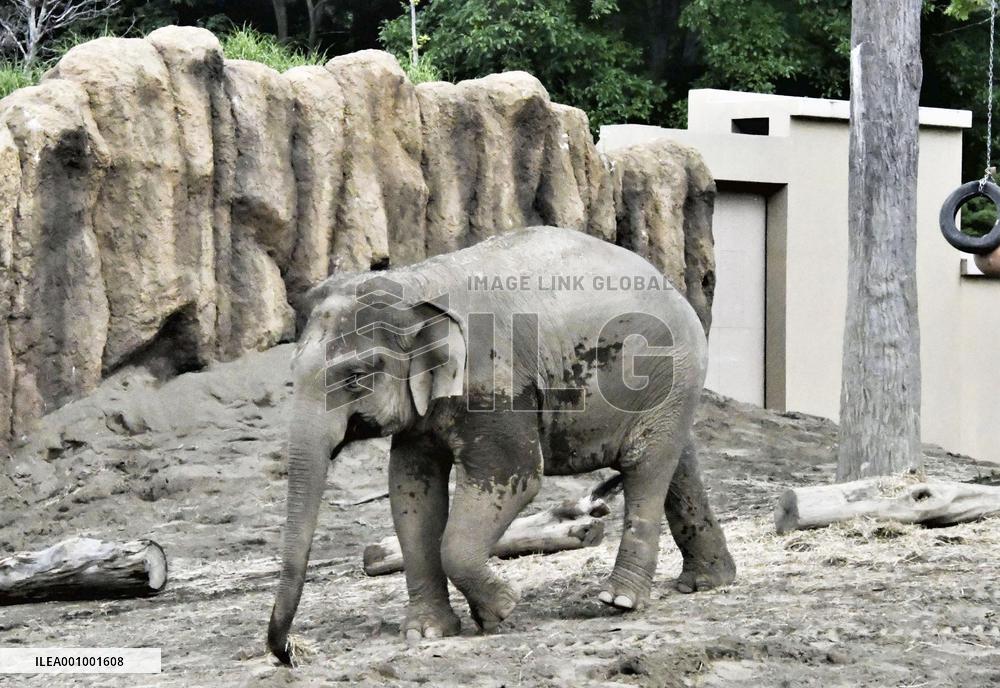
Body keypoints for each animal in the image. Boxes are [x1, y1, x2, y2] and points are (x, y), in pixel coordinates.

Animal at [267, 226, 736, 664]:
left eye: (354, 378)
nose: (288, 653)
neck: (414, 284)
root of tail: (673, 285)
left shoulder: (494, 382)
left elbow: (517, 476)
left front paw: (502, 610)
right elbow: (410, 489)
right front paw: (426, 633)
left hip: (666, 373)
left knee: (644, 466)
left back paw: (618, 601)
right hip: (668, 388)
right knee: (678, 464)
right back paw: (707, 582)